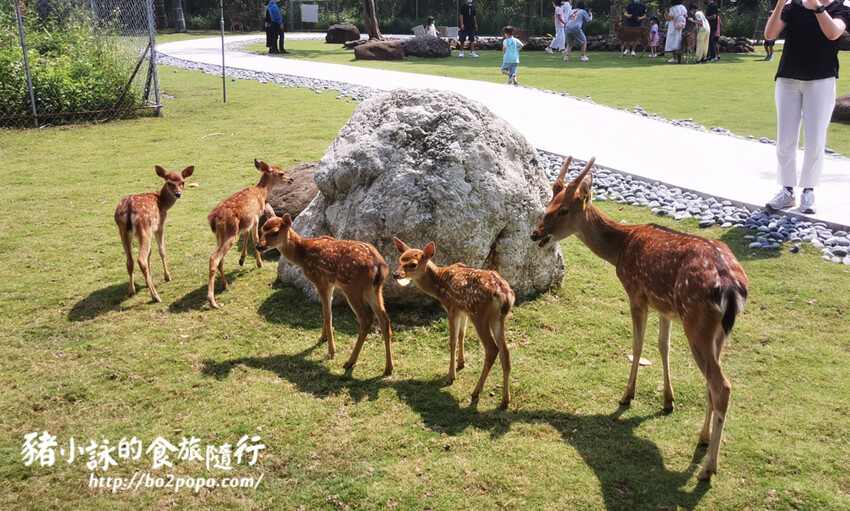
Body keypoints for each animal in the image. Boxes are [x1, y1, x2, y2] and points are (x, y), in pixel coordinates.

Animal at [114, 165, 195, 302]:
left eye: (183, 182)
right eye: (169, 183)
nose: (178, 194)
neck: (162, 202)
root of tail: (128, 211)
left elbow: (150, 253)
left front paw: (148, 282)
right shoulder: (159, 225)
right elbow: (161, 250)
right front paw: (167, 276)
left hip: (123, 232)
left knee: (129, 261)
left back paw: (132, 291)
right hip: (145, 229)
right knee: (141, 259)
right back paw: (155, 296)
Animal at [206, 159, 293, 309]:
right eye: (281, 173)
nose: (291, 179)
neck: (262, 193)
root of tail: (213, 219)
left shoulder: (247, 222)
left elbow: (247, 235)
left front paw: (242, 259)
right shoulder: (256, 217)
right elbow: (255, 238)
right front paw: (259, 263)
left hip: (219, 236)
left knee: (220, 258)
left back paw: (225, 284)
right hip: (230, 233)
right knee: (214, 258)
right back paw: (213, 301)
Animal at [255, 204, 394, 375]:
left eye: (275, 232)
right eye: (262, 229)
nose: (259, 246)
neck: (302, 255)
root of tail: (379, 265)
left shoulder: (320, 281)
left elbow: (327, 314)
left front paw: (331, 350)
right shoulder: (331, 283)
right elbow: (327, 310)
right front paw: (323, 337)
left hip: (352, 286)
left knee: (366, 318)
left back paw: (350, 362)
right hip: (374, 289)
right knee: (384, 319)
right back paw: (388, 368)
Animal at [392, 238, 515, 409]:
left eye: (413, 264)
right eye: (400, 259)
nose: (395, 274)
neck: (438, 283)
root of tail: (505, 295)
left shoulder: (451, 307)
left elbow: (452, 340)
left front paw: (451, 376)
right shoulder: (463, 310)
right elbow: (462, 334)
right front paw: (461, 363)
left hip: (479, 314)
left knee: (492, 349)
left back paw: (476, 392)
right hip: (498, 318)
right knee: (505, 351)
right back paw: (505, 400)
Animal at [530, 156, 749, 481]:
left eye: (563, 209)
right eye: (549, 203)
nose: (535, 234)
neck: (620, 248)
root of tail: (732, 288)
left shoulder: (635, 292)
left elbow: (637, 345)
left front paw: (626, 395)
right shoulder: (666, 307)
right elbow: (663, 346)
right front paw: (668, 401)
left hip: (697, 321)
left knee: (721, 385)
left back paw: (708, 469)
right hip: (717, 330)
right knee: (712, 383)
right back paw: (703, 439)